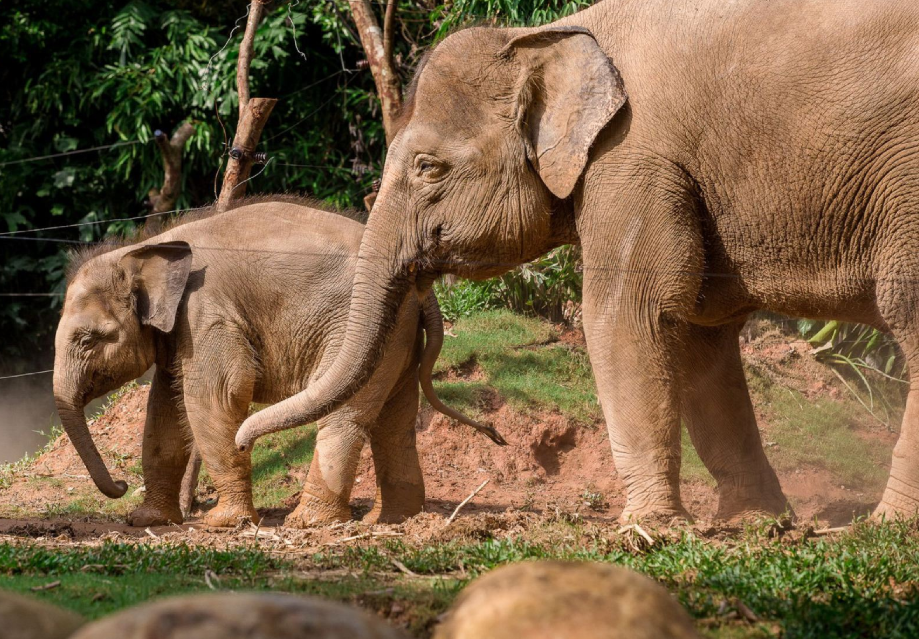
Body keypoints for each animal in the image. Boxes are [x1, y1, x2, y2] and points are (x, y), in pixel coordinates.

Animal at [53, 198, 500, 528]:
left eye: (88, 340)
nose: (120, 485)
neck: (148, 246)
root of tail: (424, 290)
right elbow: (163, 411)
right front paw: (146, 520)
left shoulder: (207, 314)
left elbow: (215, 397)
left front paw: (222, 524)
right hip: (400, 337)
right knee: (396, 421)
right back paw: (389, 519)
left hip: (361, 328)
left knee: (345, 417)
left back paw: (309, 523)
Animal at [235, 0, 919, 524]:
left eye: (428, 167)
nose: (245, 437)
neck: (558, 30)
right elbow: (700, 335)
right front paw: (754, 523)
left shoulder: (633, 157)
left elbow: (627, 313)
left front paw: (651, 530)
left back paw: (884, 528)